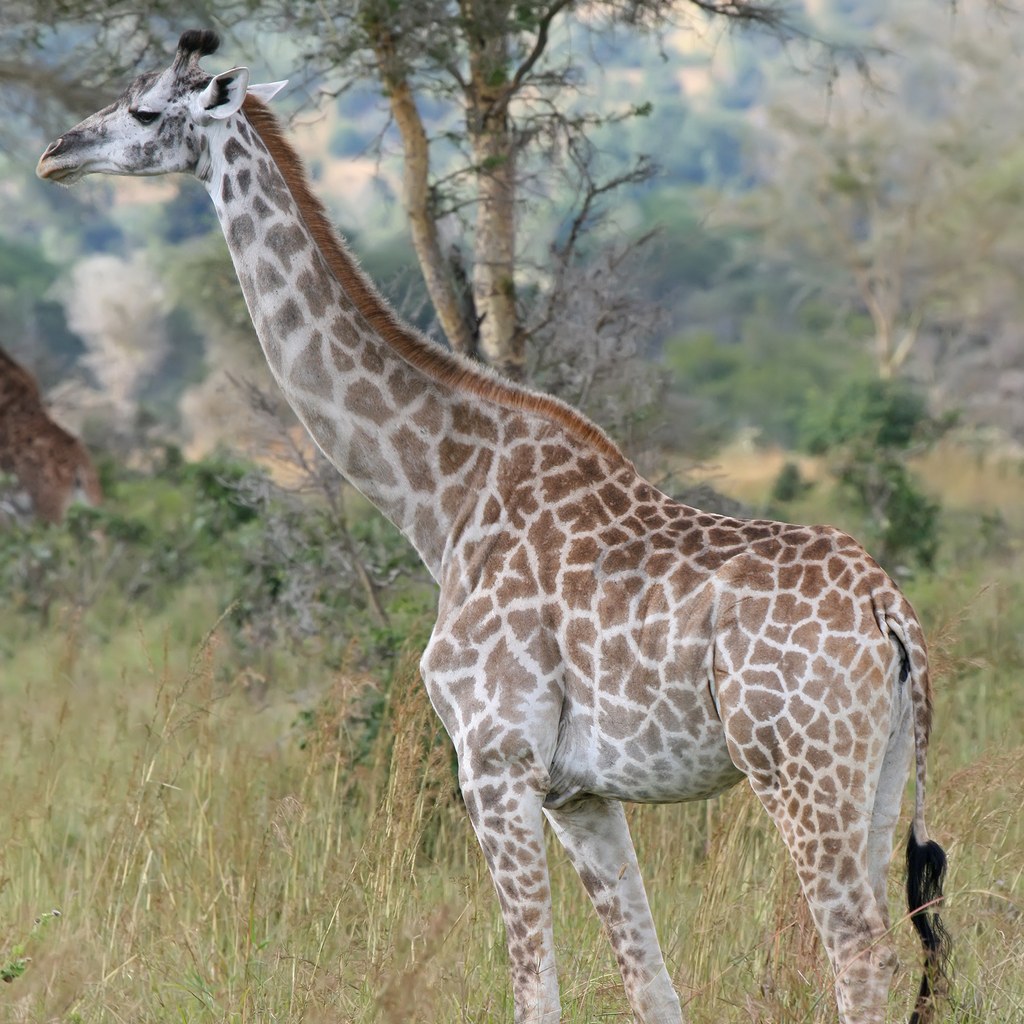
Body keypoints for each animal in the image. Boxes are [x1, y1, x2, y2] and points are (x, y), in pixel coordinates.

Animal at [38, 31, 950, 1024]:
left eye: (143, 110)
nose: (54, 154)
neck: (442, 500)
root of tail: (890, 612)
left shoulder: (493, 758)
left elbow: (534, 985)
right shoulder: (579, 791)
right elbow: (650, 982)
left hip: (798, 766)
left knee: (859, 949)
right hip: (876, 771)